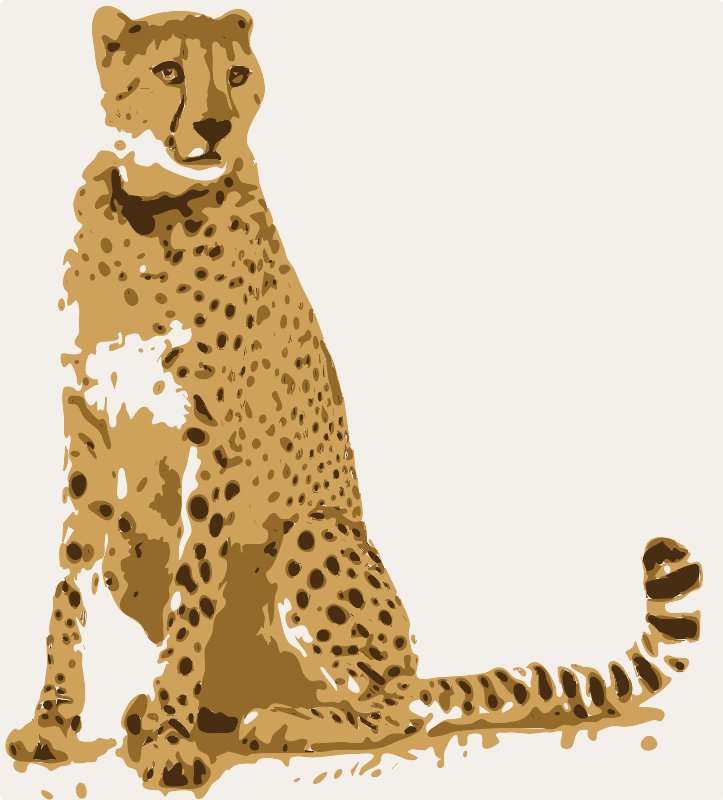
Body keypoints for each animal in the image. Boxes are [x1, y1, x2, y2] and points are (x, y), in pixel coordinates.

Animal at [5, 6, 703, 794]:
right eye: (168, 71)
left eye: (238, 73)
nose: (217, 126)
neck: (149, 211)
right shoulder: (87, 430)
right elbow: (68, 585)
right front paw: (53, 723)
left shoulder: (213, 443)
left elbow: (193, 594)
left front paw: (171, 742)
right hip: (136, 538)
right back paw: (166, 712)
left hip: (317, 534)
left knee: (391, 708)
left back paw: (274, 721)